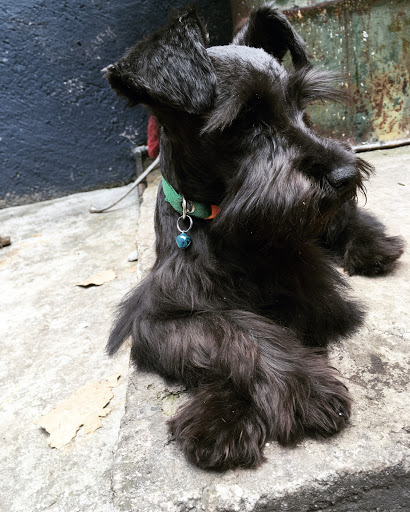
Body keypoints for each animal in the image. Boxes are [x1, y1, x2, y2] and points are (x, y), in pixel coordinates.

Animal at [104, 4, 404, 470]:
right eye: (245, 119)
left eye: (301, 106)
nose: (345, 174)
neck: (222, 221)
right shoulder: (156, 317)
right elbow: (229, 327)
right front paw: (224, 416)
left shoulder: (305, 292)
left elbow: (264, 325)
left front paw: (298, 389)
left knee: (349, 219)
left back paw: (372, 248)